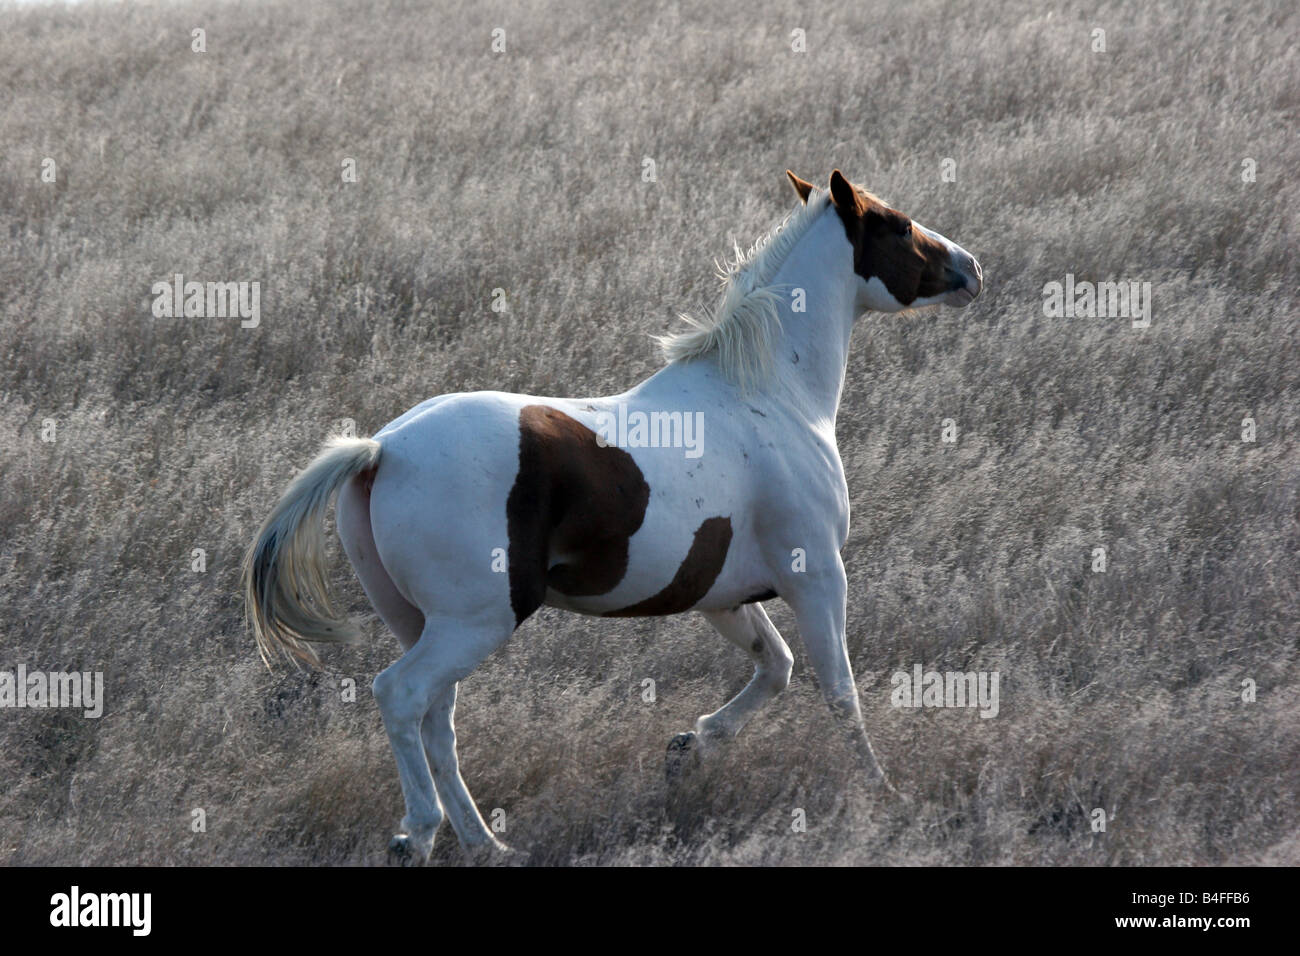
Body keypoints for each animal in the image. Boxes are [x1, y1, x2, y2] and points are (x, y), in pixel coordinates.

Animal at [244, 167, 977, 863]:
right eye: (897, 224)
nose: (970, 268)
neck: (769, 394)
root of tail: (382, 450)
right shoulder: (817, 575)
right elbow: (837, 688)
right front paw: (881, 791)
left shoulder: (721, 595)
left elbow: (777, 666)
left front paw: (689, 749)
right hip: (474, 623)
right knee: (400, 696)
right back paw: (418, 835)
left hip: (424, 623)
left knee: (436, 720)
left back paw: (485, 844)